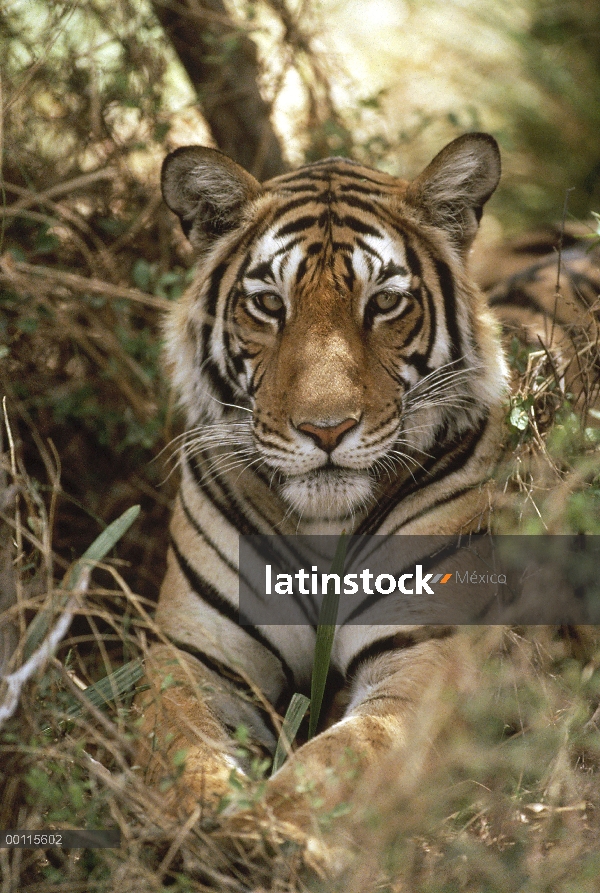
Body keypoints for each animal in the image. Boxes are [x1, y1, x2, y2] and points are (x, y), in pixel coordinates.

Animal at [136, 132, 600, 828]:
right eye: (269, 304)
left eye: (383, 302)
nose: (326, 430)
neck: (322, 527)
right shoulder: (195, 654)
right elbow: (176, 742)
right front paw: (199, 816)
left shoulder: (422, 657)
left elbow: (333, 766)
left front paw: (260, 834)